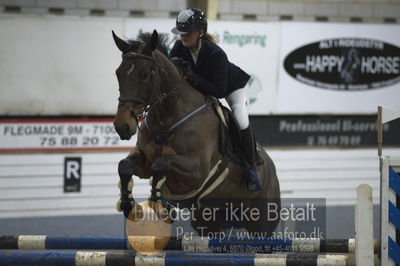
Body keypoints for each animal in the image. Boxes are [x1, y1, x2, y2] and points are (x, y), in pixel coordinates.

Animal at [112, 30, 282, 238]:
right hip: (208, 222)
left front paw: (160, 205)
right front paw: (129, 204)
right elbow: (124, 166)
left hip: (261, 224)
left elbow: (161, 163)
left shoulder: (197, 171)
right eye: (118, 73)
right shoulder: (144, 162)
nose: (122, 126)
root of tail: (271, 167)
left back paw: (253, 177)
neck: (166, 117)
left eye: (144, 75)